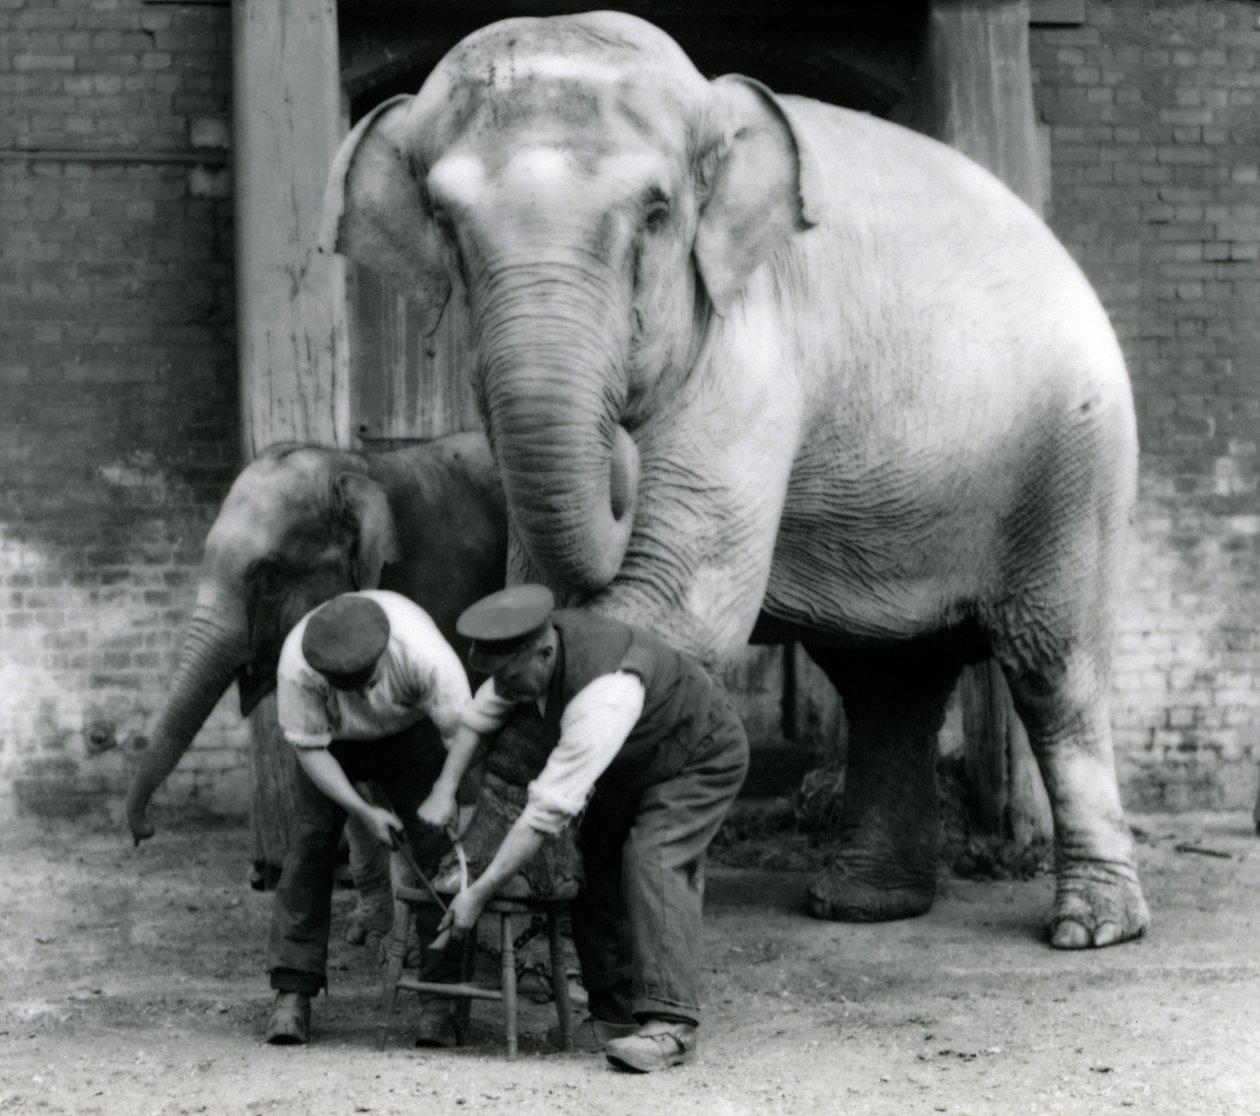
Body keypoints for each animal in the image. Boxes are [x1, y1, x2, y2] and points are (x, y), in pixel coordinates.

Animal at [325, 10, 1154, 952]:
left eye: (656, 213)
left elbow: (673, 607)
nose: (621, 455)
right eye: (442, 219)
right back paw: (861, 902)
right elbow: (538, 588)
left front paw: (500, 891)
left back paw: (1091, 927)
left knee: (1053, 667)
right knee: (887, 680)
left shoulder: (749, 352)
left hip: (1072, 458)